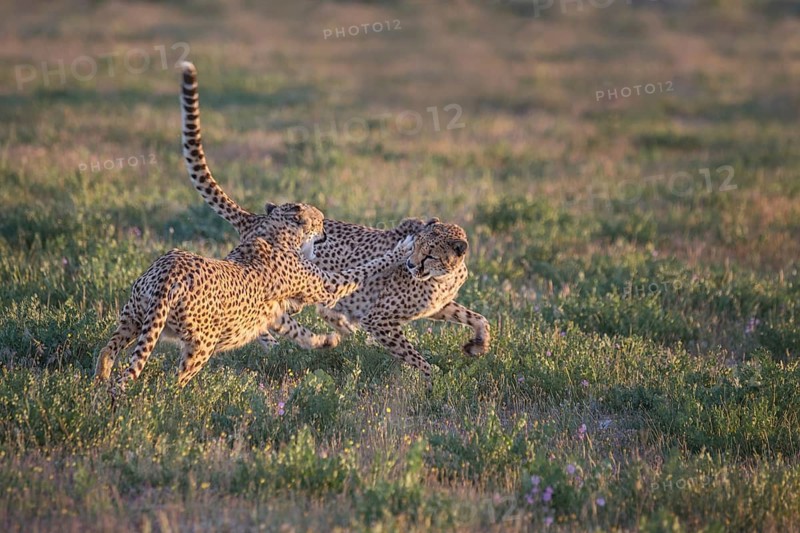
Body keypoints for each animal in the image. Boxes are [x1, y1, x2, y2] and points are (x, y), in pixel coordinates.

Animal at [93, 189, 414, 396]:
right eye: (320, 221)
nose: (324, 234)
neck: (274, 233)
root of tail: (171, 270)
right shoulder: (326, 285)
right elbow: (360, 271)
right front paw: (402, 249)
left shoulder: (274, 315)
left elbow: (300, 333)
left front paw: (327, 340)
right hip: (201, 345)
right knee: (174, 382)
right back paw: (178, 402)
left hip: (133, 317)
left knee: (107, 350)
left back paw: (99, 384)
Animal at [179, 61, 490, 386]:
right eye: (417, 247)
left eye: (429, 254)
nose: (411, 264)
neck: (443, 276)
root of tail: (260, 216)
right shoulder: (380, 320)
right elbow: (417, 358)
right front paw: (434, 381)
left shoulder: (437, 307)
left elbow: (478, 318)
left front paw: (477, 345)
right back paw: (279, 344)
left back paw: (334, 326)